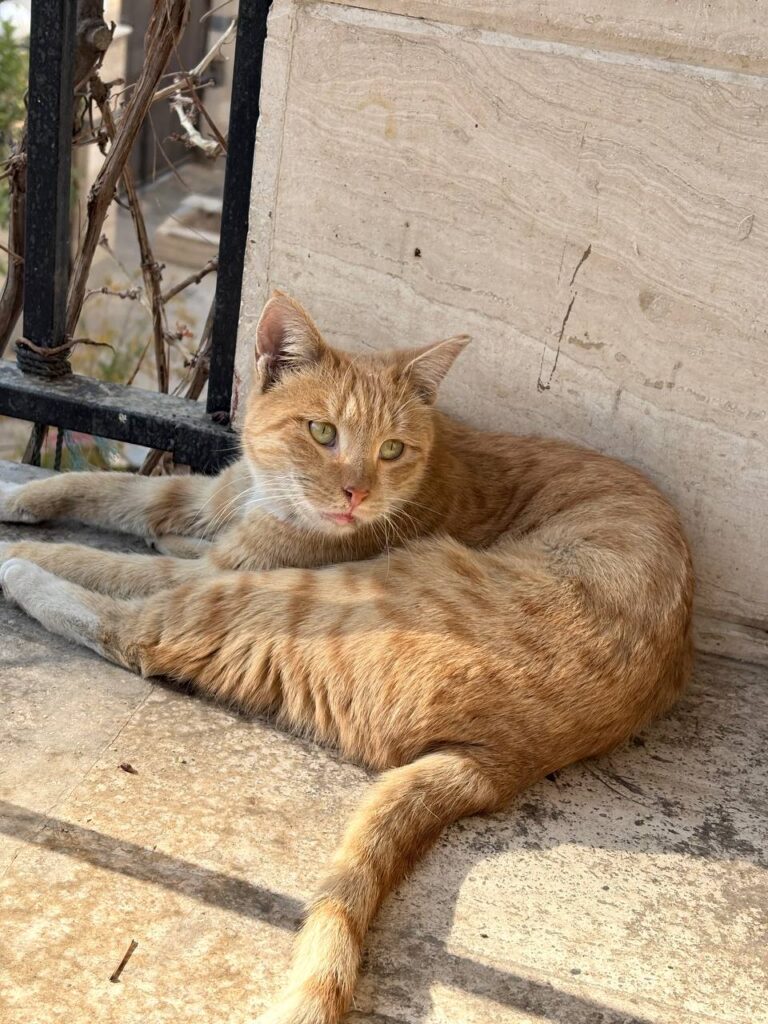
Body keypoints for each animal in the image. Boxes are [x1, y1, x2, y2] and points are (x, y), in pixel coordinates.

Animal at [0, 291, 693, 1024]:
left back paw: (24, 576)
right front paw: (17, 498)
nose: (356, 493)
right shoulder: (209, 496)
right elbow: (103, 491)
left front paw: (24, 547)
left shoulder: (227, 567)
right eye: (321, 432)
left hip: (292, 597)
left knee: (138, 632)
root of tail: (512, 760)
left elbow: (106, 558)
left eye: (391, 449)